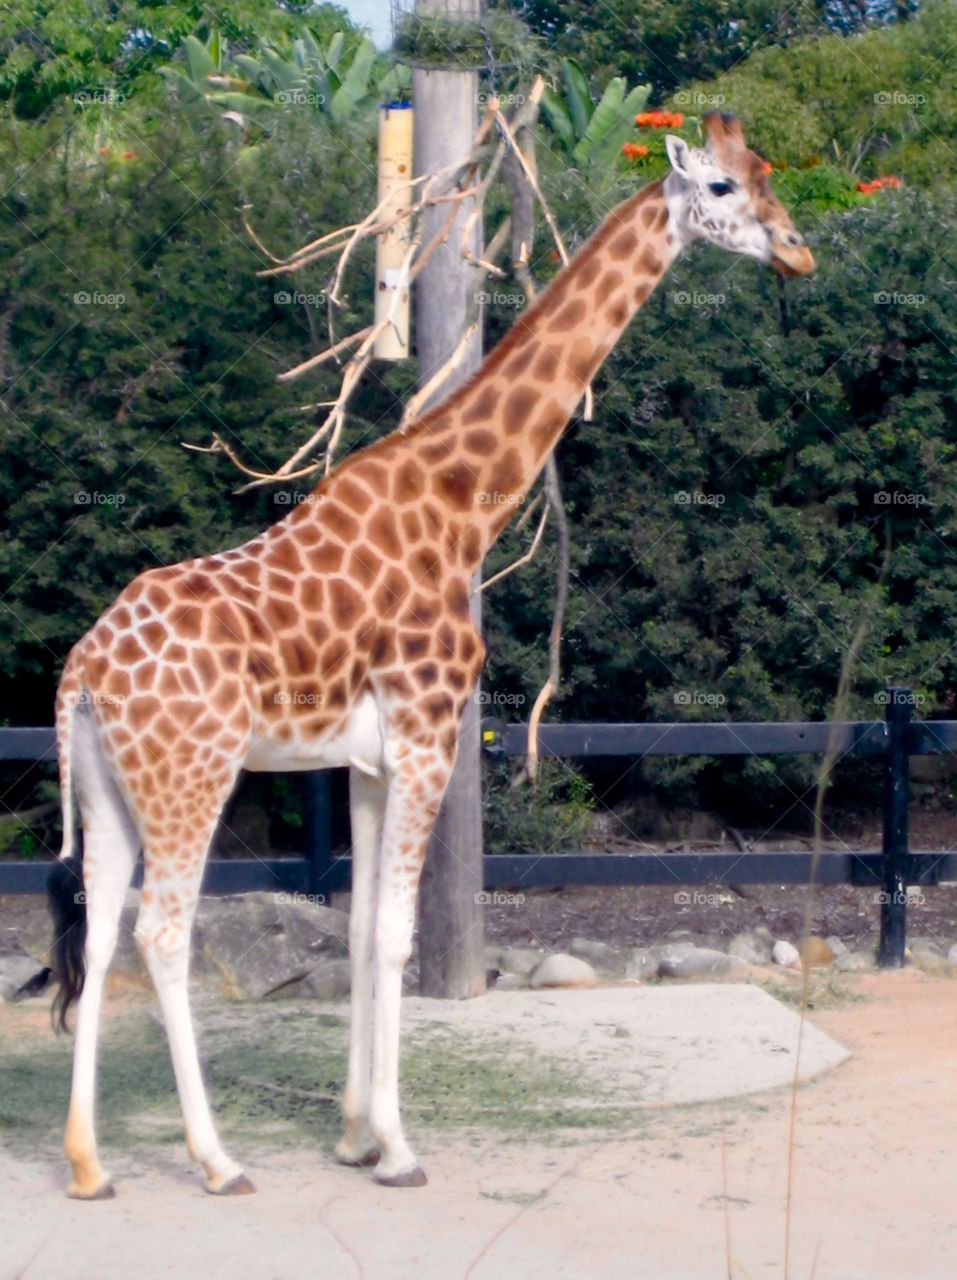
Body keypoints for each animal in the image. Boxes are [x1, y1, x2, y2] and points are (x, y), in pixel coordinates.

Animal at [50, 112, 813, 1198]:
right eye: (722, 185)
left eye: (768, 176)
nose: (798, 249)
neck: (464, 505)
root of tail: (80, 671)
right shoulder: (426, 736)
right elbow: (397, 936)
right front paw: (399, 1148)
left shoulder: (369, 760)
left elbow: (365, 926)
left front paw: (354, 1135)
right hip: (191, 773)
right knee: (161, 930)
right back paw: (216, 1158)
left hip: (113, 784)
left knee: (105, 920)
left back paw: (87, 1163)